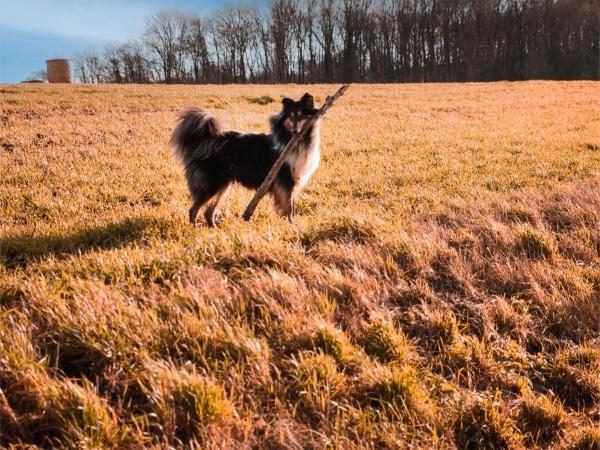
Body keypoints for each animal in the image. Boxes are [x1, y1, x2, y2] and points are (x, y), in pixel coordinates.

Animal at [171, 92, 322, 225]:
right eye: (290, 117)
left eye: (301, 116)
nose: (295, 132)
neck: (297, 141)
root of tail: (206, 139)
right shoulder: (286, 180)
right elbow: (289, 207)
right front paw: (292, 224)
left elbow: (290, 205)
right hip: (212, 183)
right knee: (194, 209)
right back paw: (194, 227)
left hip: (223, 186)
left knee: (208, 211)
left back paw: (213, 227)